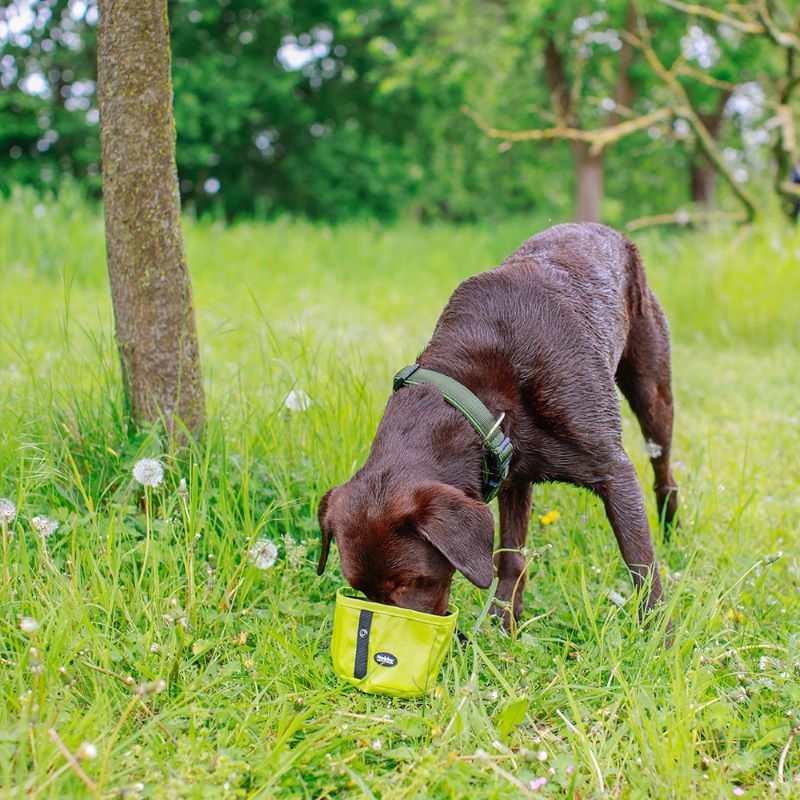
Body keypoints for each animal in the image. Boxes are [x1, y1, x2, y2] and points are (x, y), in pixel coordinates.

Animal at [316, 223, 680, 624]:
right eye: (361, 589)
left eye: (408, 581)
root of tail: (605, 230)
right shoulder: (512, 474)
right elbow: (511, 558)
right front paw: (503, 623)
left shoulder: (615, 472)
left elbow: (642, 567)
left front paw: (658, 635)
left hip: (653, 394)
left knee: (664, 473)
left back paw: (671, 532)